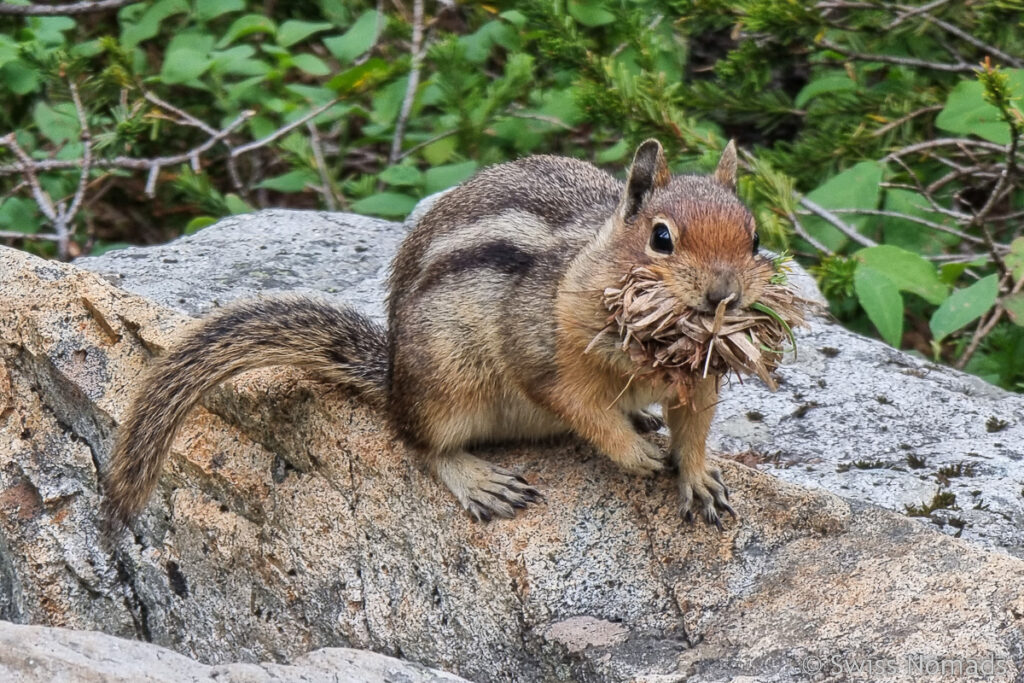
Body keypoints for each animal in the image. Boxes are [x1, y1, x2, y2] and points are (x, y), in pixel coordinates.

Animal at [108, 139, 770, 528]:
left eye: (755, 235)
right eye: (661, 238)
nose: (724, 295)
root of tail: (393, 377)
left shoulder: (700, 378)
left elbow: (695, 427)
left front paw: (696, 476)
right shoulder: (542, 352)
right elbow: (577, 406)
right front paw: (633, 454)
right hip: (446, 383)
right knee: (419, 444)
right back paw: (480, 480)